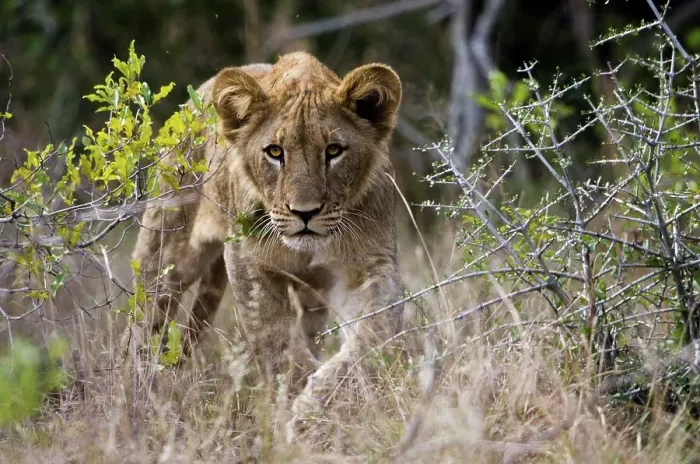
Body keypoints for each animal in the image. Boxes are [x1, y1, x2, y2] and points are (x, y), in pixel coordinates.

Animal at [130, 51, 405, 439]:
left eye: (334, 150)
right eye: (275, 152)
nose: (305, 212)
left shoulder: (370, 265)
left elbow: (372, 336)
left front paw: (313, 406)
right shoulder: (247, 260)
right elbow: (277, 343)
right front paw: (298, 405)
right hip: (166, 254)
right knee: (145, 321)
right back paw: (138, 397)